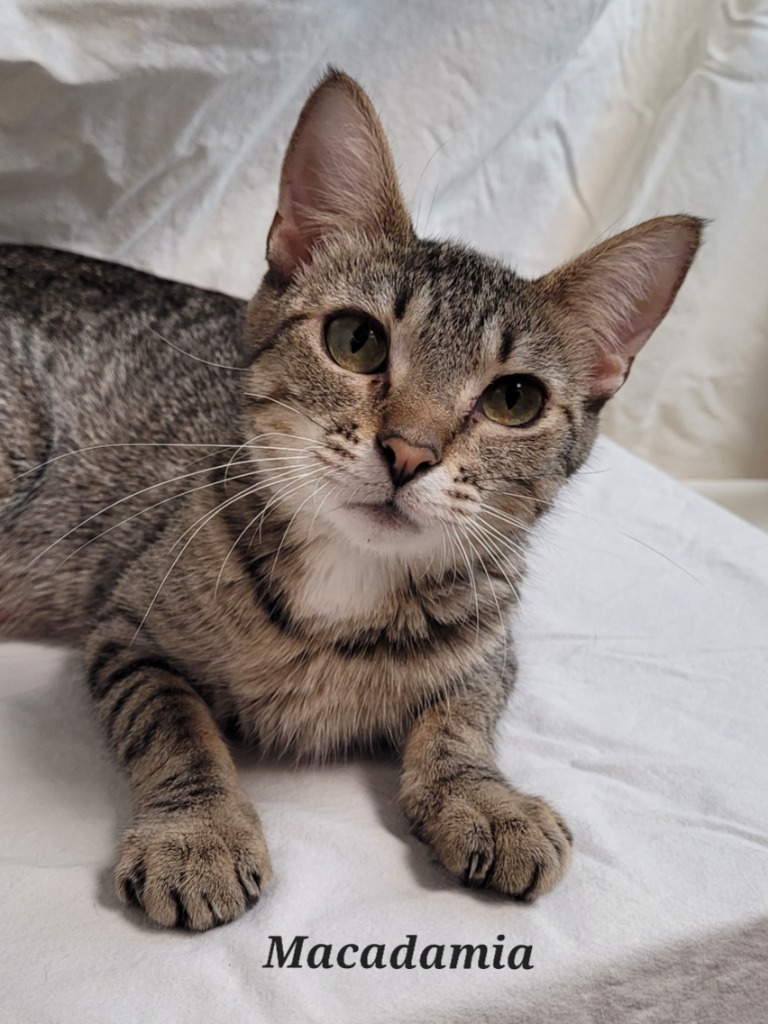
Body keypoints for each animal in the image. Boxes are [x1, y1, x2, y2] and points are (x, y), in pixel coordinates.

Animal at [0, 70, 704, 929]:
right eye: (355, 341)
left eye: (514, 400)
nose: (409, 452)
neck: (351, 578)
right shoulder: (128, 631)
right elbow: (174, 724)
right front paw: (197, 832)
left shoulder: (490, 647)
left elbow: (463, 717)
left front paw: (485, 799)